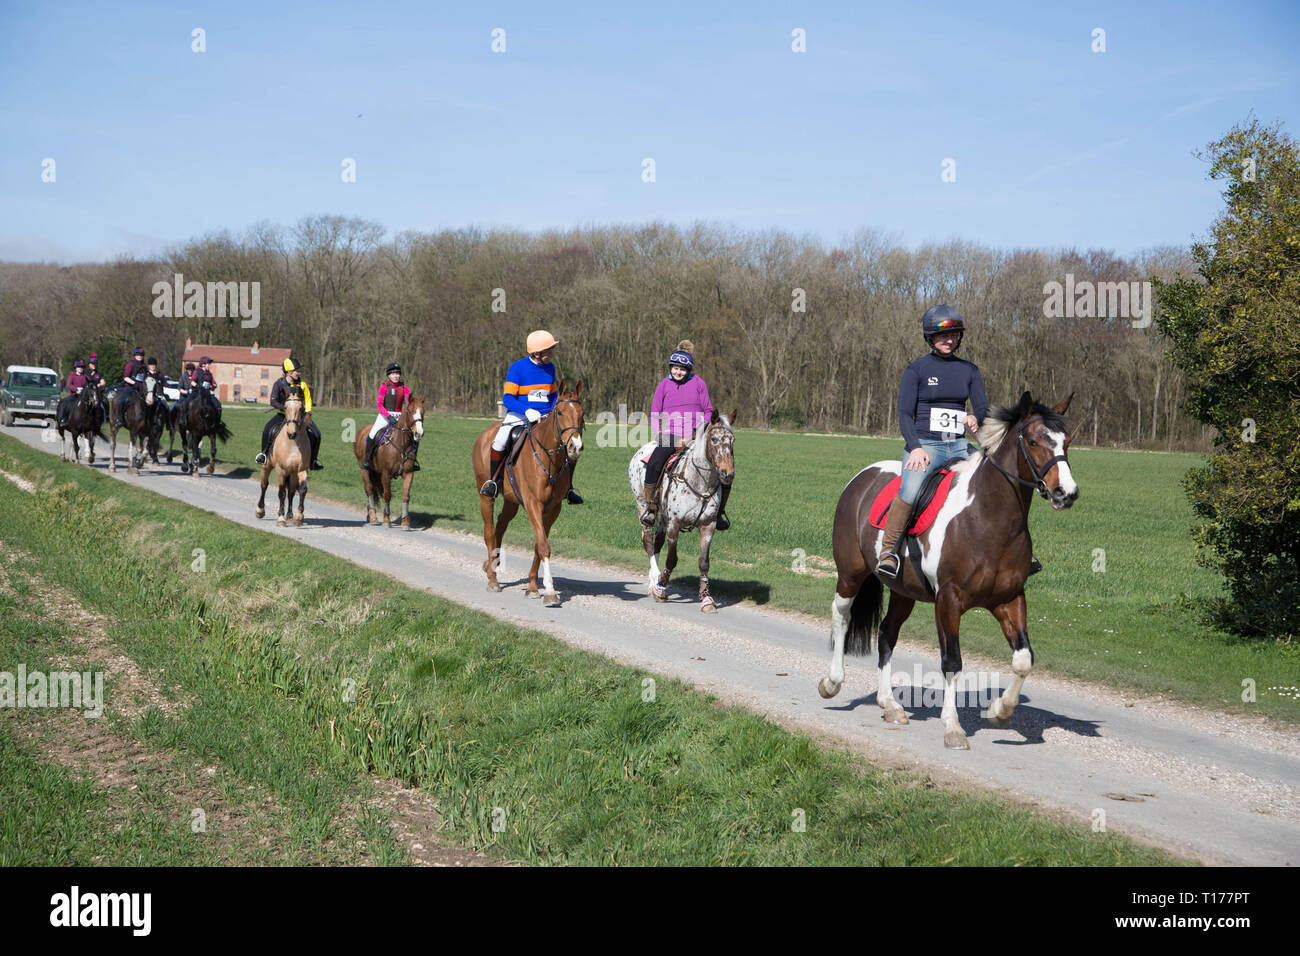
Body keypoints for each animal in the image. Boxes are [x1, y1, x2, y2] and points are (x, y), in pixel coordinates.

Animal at [256, 385, 312, 528]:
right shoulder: (280, 469)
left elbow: (302, 490)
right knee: (264, 485)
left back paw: (290, 515)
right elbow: (281, 493)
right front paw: (280, 518)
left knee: (291, 491)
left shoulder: (301, 469)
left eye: (301, 408)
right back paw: (260, 510)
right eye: (285, 407)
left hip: (292, 473)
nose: (291, 433)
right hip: (267, 466)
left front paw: (298, 517)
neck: (292, 443)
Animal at [351, 395, 426, 530]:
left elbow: (406, 496)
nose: (419, 433)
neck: (402, 443)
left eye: (423, 412)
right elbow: (387, 495)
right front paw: (387, 520)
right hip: (364, 469)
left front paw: (405, 522)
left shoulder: (408, 473)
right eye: (410, 411)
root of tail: (363, 430)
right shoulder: (386, 474)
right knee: (369, 489)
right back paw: (373, 517)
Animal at [473, 382, 585, 606]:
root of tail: (484, 435)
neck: (549, 458)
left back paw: (492, 563)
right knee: (489, 532)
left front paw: (533, 586)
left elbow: (538, 544)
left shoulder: (553, 508)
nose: (575, 447)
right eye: (560, 412)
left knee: (500, 525)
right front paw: (549, 591)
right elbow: (543, 545)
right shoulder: (534, 503)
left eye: (582, 413)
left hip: (512, 501)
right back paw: (492, 579)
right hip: (486, 496)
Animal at [816, 392, 1081, 749]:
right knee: (841, 617)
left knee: (886, 634)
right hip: (850, 574)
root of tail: (861, 477)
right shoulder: (948, 601)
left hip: (903, 592)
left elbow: (1024, 659)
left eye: (1066, 441)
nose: (1065, 493)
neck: (988, 519)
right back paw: (832, 683)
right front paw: (953, 727)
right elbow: (952, 661)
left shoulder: (1009, 599)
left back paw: (890, 705)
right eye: (1034, 440)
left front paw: (1000, 711)